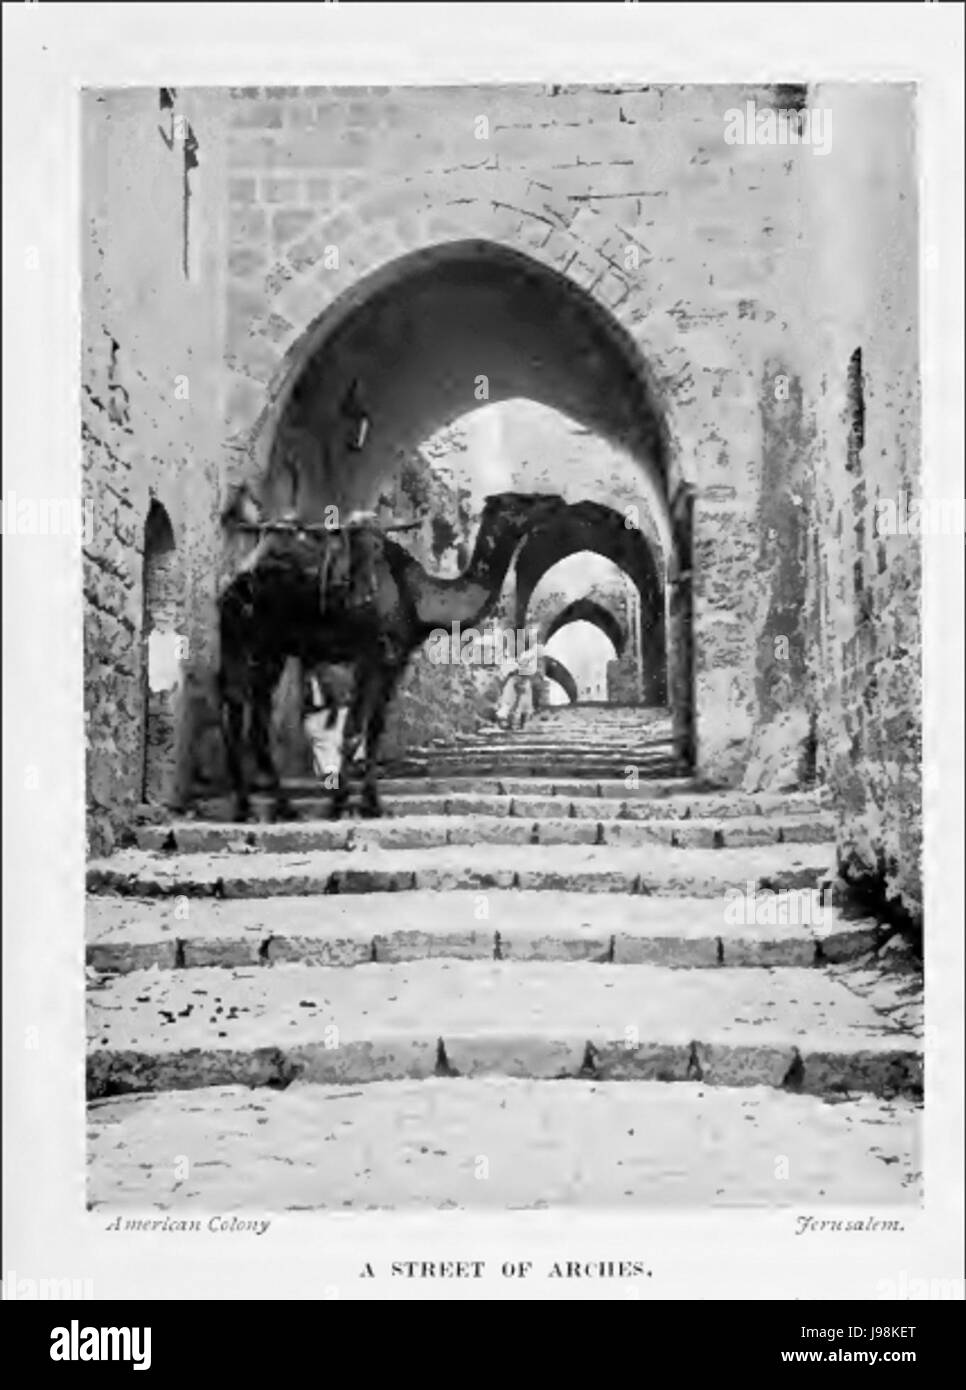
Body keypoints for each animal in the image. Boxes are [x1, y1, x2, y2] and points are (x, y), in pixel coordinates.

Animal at [216, 486, 567, 817]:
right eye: (522, 500)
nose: (557, 501)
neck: (417, 598)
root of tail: (236, 579)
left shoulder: (395, 660)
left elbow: (375, 730)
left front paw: (372, 804)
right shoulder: (371, 654)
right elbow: (354, 732)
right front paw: (339, 804)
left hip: (257, 647)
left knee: (244, 718)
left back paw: (261, 807)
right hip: (259, 642)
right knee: (246, 719)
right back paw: (267, 807)